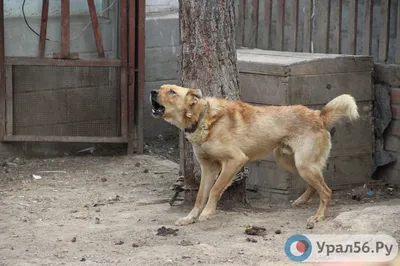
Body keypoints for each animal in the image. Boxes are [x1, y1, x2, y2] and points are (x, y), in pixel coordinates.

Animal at [150, 84, 360, 225]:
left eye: (172, 92)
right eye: (160, 88)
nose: (152, 91)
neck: (202, 118)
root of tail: (319, 116)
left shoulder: (235, 160)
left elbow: (216, 189)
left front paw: (208, 213)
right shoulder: (208, 168)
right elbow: (201, 195)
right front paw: (190, 217)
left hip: (303, 164)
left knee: (327, 191)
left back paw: (319, 216)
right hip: (288, 161)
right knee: (317, 184)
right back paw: (302, 200)